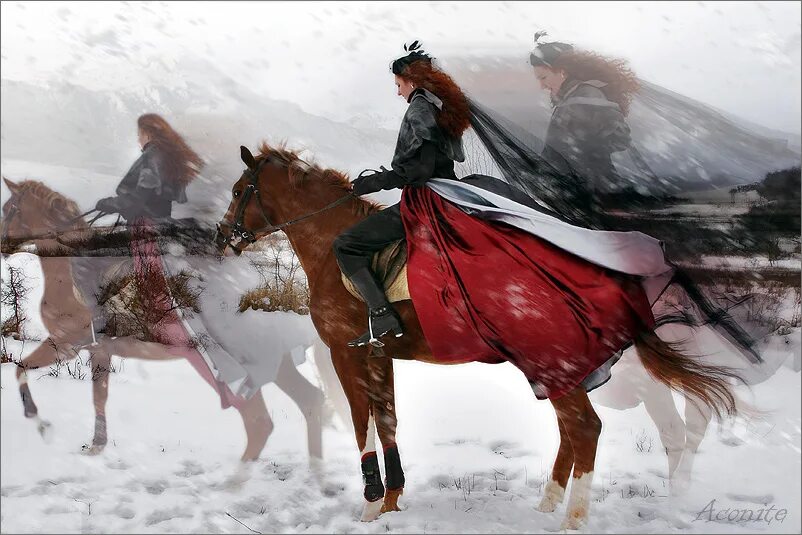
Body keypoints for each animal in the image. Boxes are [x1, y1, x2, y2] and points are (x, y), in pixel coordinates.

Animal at [214, 143, 736, 532]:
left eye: (240, 190)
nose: (223, 235)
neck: (330, 247)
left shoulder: (346, 353)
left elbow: (363, 423)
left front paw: (369, 504)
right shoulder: (379, 355)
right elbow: (388, 420)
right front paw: (392, 500)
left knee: (587, 427)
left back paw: (572, 518)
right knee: (573, 429)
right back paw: (549, 503)